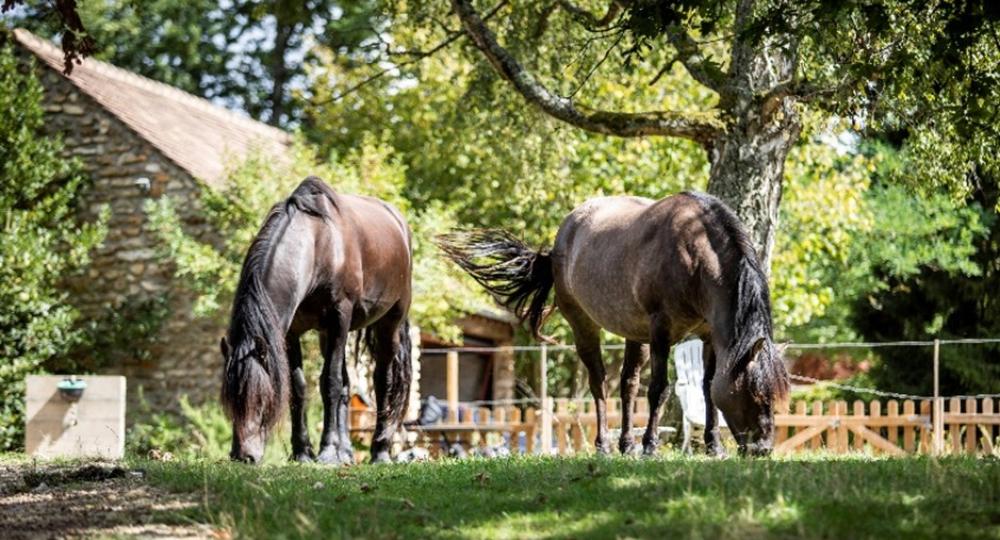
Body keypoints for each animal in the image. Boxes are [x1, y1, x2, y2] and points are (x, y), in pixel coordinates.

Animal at [223, 177, 414, 464]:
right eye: (229, 402)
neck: (319, 245)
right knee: (347, 386)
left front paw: (326, 450)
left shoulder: (339, 318)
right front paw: (303, 451)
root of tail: (400, 224)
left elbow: (330, 383)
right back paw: (346, 453)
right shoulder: (291, 332)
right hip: (329, 335)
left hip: (389, 323)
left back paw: (379, 450)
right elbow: (300, 388)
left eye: (263, 400)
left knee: (383, 381)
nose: (242, 455)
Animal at [438, 192, 788, 458]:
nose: (763, 449)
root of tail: (560, 240)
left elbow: (707, 387)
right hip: (584, 326)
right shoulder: (661, 330)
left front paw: (714, 446)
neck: (693, 255)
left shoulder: (708, 336)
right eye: (755, 394)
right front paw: (650, 446)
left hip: (636, 335)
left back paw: (626, 443)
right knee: (600, 385)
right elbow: (659, 389)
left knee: (627, 385)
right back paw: (604, 445)